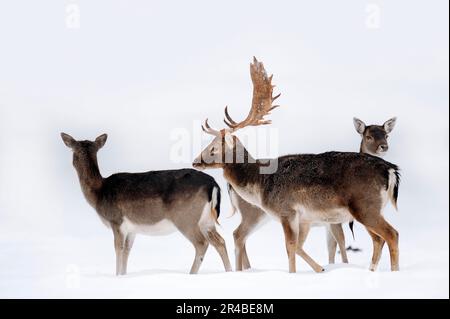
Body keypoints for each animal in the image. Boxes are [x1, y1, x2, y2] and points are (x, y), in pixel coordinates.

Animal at [61, 134, 232, 276]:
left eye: (72, 151)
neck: (99, 193)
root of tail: (213, 184)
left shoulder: (116, 221)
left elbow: (118, 249)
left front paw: (117, 276)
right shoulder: (132, 229)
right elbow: (127, 251)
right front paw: (123, 275)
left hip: (186, 217)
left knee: (202, 243)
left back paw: (191, 274)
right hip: (206, 220)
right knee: (220, 241)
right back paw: (229, 271)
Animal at [193, 57, 400, 272]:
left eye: (214, 148)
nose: (196, 161)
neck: (260, 183)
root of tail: (391, 170)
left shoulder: (287, 211)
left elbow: (290, 246)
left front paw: (296, 273)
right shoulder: (306, 219)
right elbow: (299, 246)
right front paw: (320, 269)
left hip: (365, 206)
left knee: (391, 234)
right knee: (381, 238)